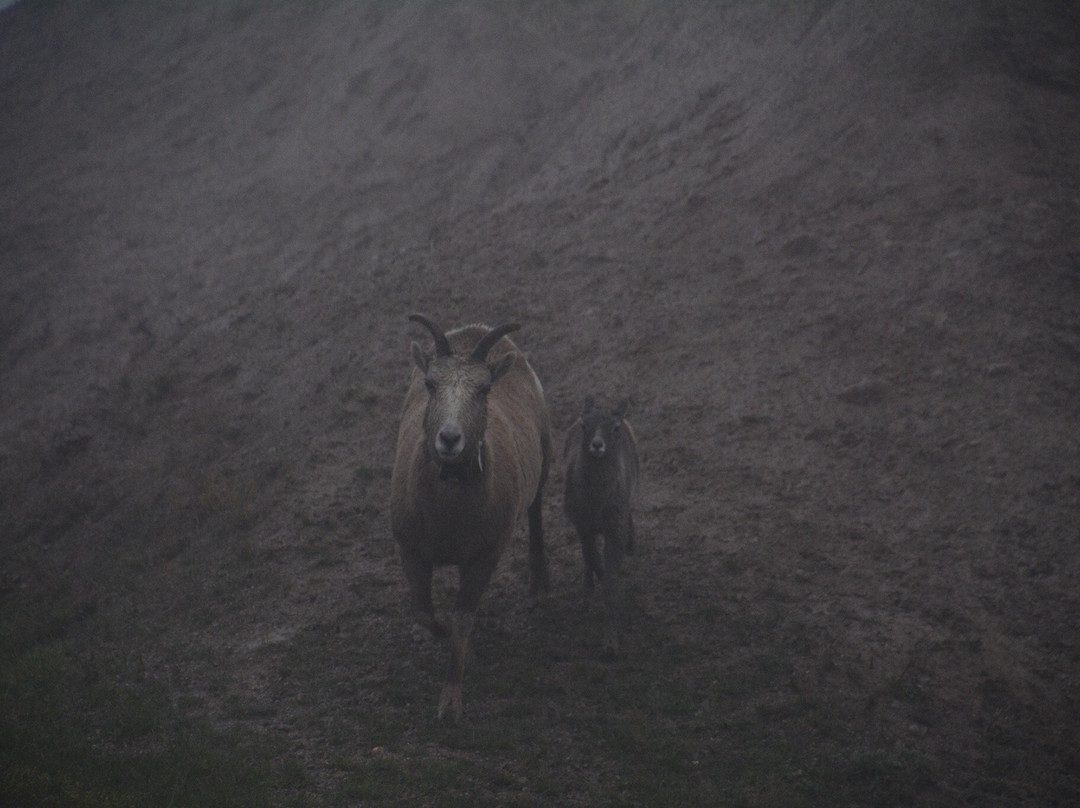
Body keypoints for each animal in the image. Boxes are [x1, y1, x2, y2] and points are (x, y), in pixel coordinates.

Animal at [388, 313, 552, 721]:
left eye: (484, 389)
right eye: (431, 383)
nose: (449, 439)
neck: (447, 520)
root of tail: (476, 329)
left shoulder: (483, 557)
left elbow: (463, 618)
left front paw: (450, 704)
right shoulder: (411, 552)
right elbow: (426, 613)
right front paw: (453, 641)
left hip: (544, 458)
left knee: (537, 511)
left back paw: (540, 583)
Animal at [561, 395, 635, 656]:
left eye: (615, 428)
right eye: (585, 425)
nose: (597, 445)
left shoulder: (615, 527)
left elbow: (610, 578)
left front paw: (611, 643)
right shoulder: (583, 525)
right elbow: (594, 560)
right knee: (587, 558)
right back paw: (586, 597)